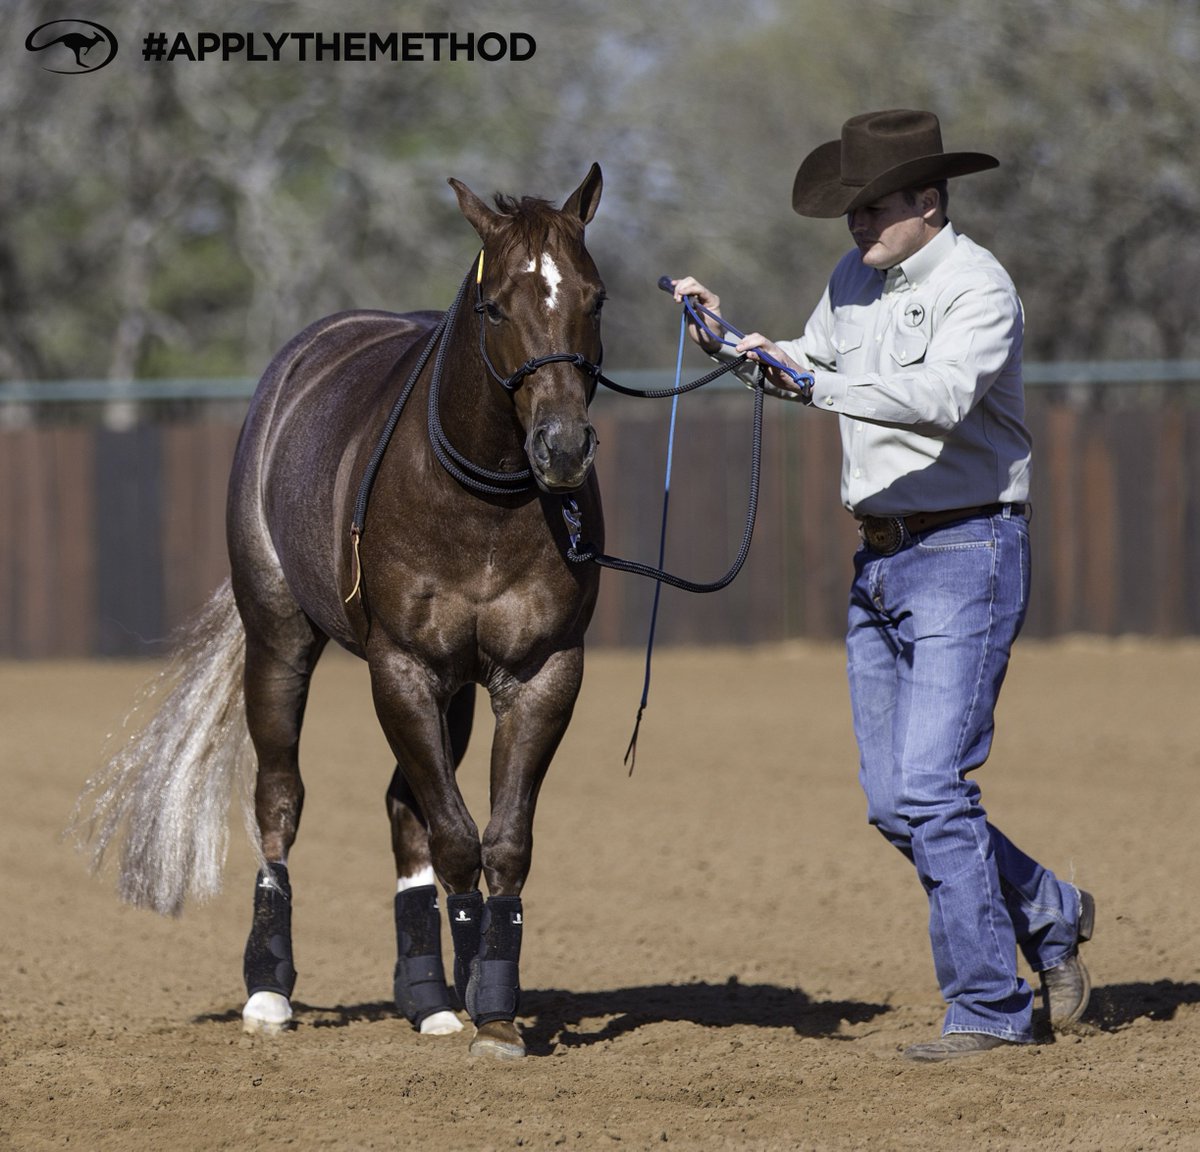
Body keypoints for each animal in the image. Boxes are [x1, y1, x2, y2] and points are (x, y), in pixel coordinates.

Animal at [74, 165, 607, 1060]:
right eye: (496, 306)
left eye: (594, 299)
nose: (562, 448)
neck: (483, 508)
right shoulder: (400, 667)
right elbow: (456, 836)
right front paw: (476, 986)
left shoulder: (541, 672)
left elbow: (500, 840)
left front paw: (491, 1000)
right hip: (280, 639)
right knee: (281, 799)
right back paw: (269, 988)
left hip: (453, 690)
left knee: (403, 809)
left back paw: (427, 993)